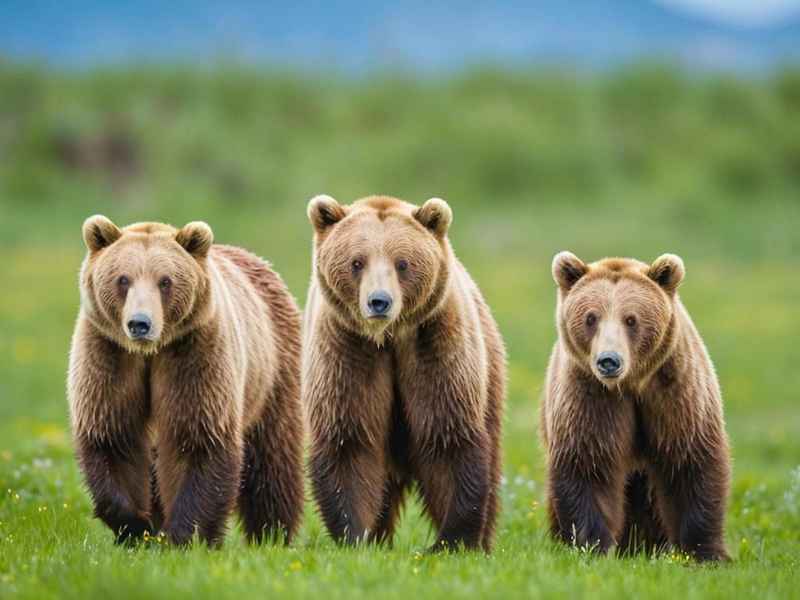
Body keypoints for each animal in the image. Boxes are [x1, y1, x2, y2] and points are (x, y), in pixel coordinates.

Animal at [67, 215, 304, 546]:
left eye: (165, 281)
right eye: (123, 279)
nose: (140, 323)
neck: (151, 353)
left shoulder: (194, 353)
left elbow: (196, 438)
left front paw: (184, 536)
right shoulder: (109, 354)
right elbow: (113, 435)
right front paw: (136, 527)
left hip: (272, 369)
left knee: (272, 457)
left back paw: (271, 534)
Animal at [302, 194, 506, 552]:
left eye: (402, 263)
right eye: (357, 262)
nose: (379, 301)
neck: (390, 338)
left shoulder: (436, 346)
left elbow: (448, 437)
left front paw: (452, 540)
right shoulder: (346, 350)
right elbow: (349, 440)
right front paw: (355, 535)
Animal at [540, 251, 731, 562]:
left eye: (631, 319)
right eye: (591, 317)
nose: (609, 360)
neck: (631, 385)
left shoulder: (675, 393)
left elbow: (689, 463)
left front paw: (705, 553)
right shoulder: (589, 398)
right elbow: (589, 465)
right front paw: (594, 545)